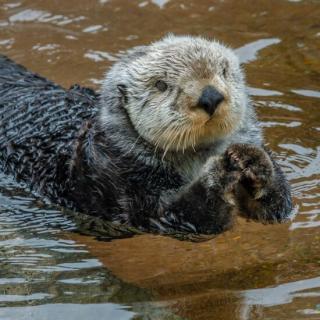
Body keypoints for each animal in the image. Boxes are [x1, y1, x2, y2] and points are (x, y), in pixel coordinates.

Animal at [0, 35, 292, 235]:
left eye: (223, 71)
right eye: (161, 85)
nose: (210, 96)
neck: (194, 159)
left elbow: (280, 209)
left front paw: (254, 160)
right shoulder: (113, 179)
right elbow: (170, 216)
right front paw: (219, 173)